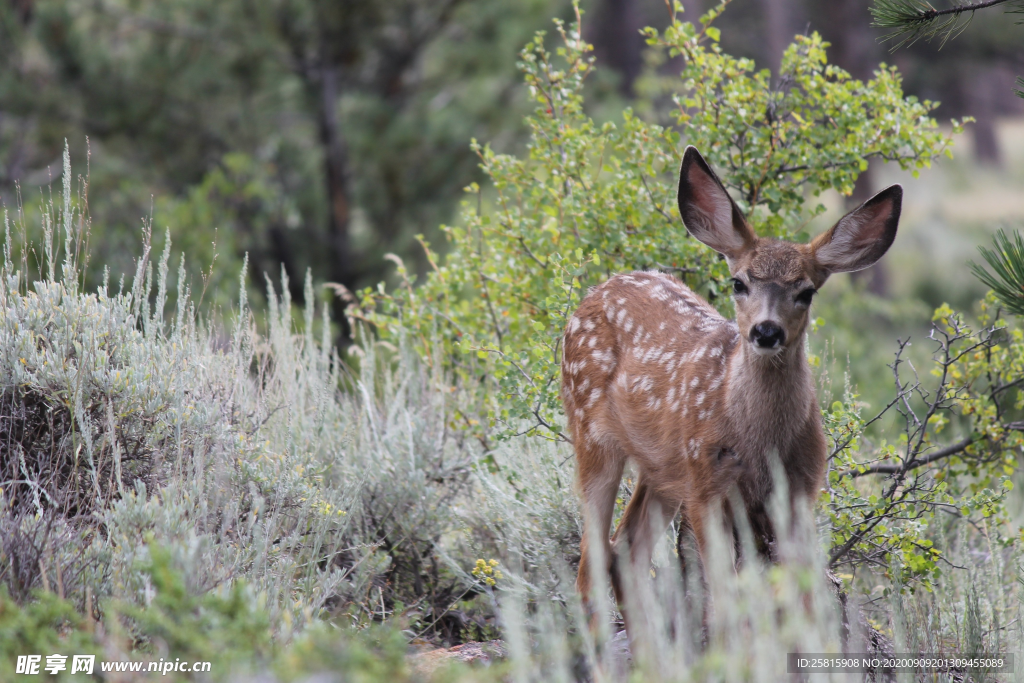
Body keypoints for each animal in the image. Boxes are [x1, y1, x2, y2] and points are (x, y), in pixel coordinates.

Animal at [561, 147, 905, 622]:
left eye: (806, 292)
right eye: (738, 283)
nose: (766, 331)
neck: (760, 440)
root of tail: (598, 290)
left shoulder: (800, 488)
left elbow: (798, 598)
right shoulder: (707, 481)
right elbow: (725, 597)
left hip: (662, 468)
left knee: (624, 551)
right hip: (592, 432)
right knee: (589, 562)